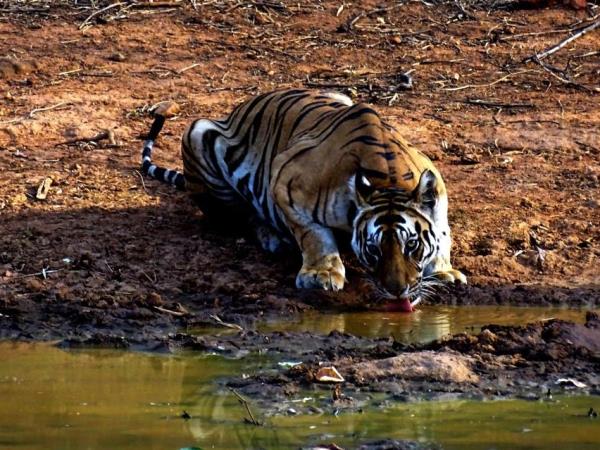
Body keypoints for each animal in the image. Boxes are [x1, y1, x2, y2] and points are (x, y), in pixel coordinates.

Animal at [141, 89, 464, 312]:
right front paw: (322, 274)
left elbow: (443, 234)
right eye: (373, 249)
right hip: (198, 136)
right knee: (238, 217)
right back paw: (274, 238)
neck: (388, 180)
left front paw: (444, 270)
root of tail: (233, 112)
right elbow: (314, 235)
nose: (398, 290)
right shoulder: (285, 183)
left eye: (411, 245)